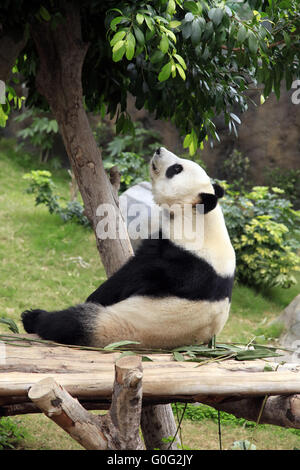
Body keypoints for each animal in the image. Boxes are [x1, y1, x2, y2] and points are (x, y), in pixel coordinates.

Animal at [22, 147, 236, 348]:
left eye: (176, 169)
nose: (159, 150)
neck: (201, 220)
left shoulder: (179, 259)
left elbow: (129, 279)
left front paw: (94, 295)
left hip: (115, 323)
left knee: (71, 323)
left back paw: (33, 317)